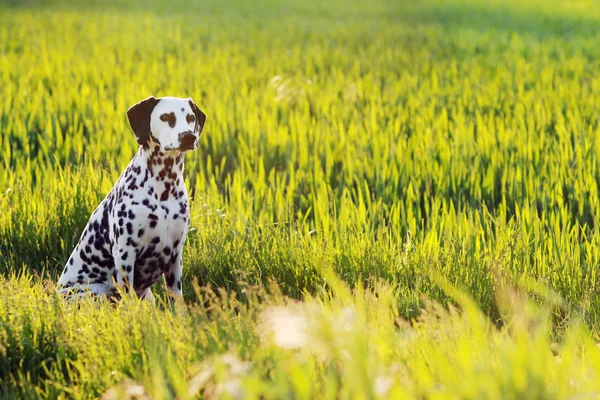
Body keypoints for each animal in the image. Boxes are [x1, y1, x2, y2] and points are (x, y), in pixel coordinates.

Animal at [57, 96, 206, 304]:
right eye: (166, 117)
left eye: (191, 117)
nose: (188, 137)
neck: (164, 188)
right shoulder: (125, 254)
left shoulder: (175, 257)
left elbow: (177, 301)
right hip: (96, 290)